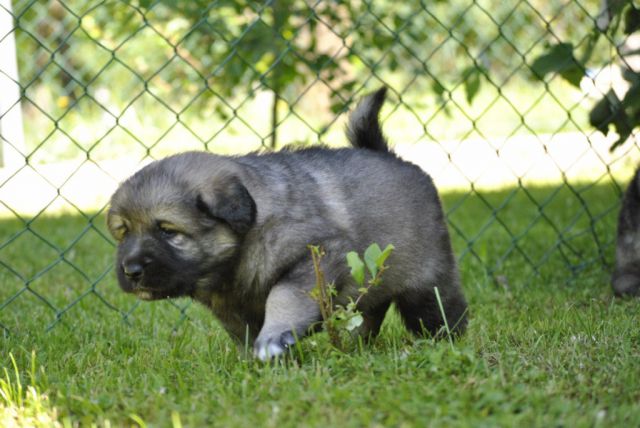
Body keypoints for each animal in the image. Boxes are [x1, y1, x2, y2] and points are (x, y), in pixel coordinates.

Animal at [107, 88, 468, 360]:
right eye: (123, 233)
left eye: (168, 231)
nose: (131, 271)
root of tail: (391, 157)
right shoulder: (231, 306)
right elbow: (242, 331)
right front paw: (251, 362)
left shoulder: (316, 257)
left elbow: (283, 298)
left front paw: (273, 339)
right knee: (371, 310)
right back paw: (358, 344)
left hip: (427, 276)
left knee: (440, 309)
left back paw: (448, 341)